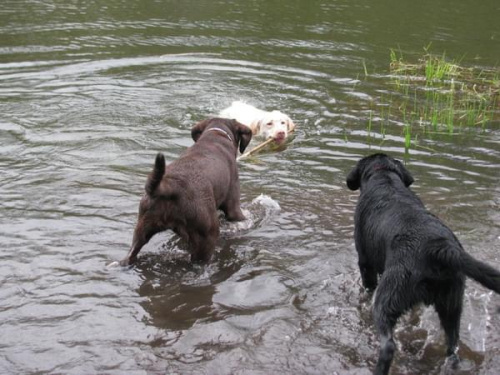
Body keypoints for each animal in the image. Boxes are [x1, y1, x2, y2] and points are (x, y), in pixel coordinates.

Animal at [346, 153, 500, 375]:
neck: (384, 177)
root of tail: (438, 247)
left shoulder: (365, 263)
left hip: (389, 294)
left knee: (388, 344)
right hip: (452, 304)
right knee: (452, 344)